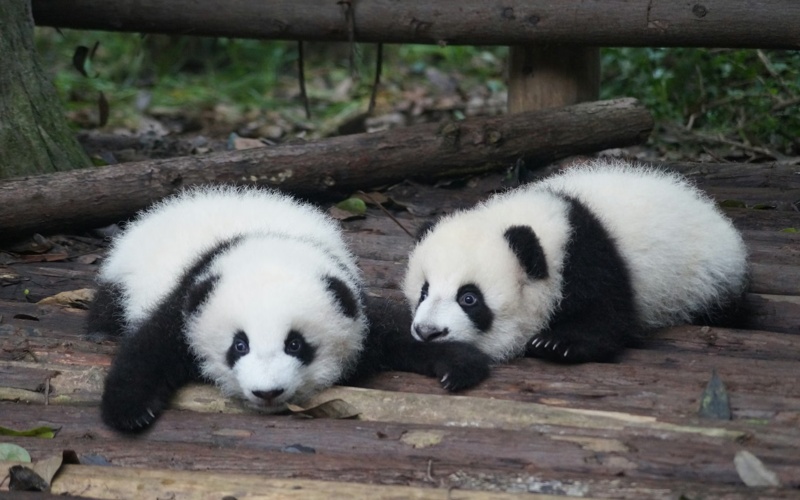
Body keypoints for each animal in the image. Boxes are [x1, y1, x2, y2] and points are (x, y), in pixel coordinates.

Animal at [91, 186, 489, 433]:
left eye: (295, 344)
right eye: (239, 346)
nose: (267, 393)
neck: (269, 243)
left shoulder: (350, 297)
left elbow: (396, 331)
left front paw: (458, 363)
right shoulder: (190, 295)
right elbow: (150, 346)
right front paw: (130, 411)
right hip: (121, 278)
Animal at [402, 159, 748, 385]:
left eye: (469, 298)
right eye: (423, 291)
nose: (428, 332)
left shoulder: (588, 256)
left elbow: (606, 315)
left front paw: (557, 344)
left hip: (707, 277)